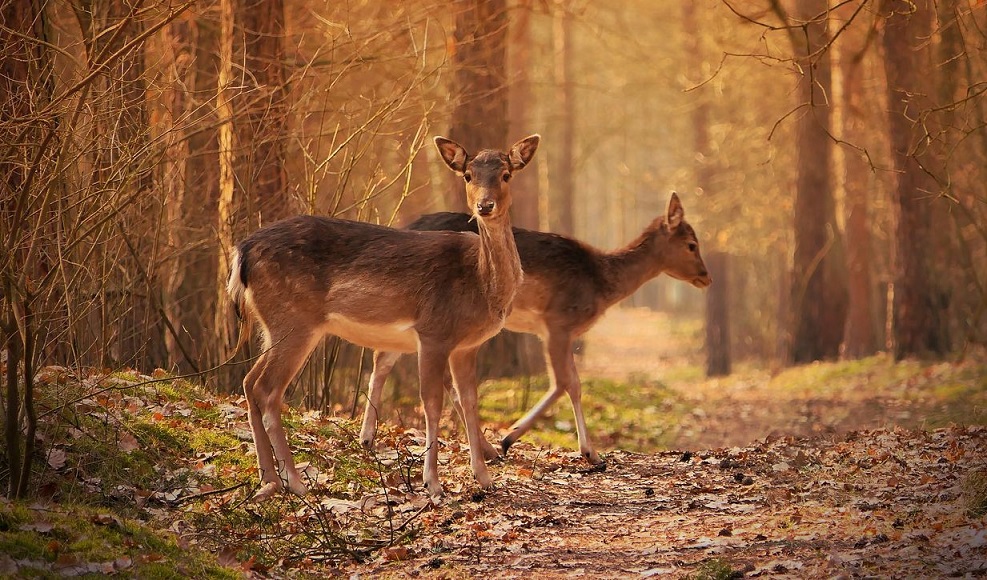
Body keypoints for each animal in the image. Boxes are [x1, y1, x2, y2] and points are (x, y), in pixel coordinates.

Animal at [227, 135, 540, 498]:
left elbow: (470, 402)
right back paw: (294, 480)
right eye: (468, 175)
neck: (480, 282)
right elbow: (432, 403)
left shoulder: (467, 346)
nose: (484, 206)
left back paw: (269, 478)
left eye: (506, 175)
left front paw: (485, 479)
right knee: (268, 389)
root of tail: (242, 251)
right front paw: (433, 483)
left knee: (250, 382)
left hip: (273, 325)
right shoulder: (433, 331)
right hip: (295, 319)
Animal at [358, 193, 712, 464]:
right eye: (691, 244)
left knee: (384, 360)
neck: (601, 283)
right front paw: (587, 452)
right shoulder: (559, 321)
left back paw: (368, 439)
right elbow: (569, 383)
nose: (706, 276)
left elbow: (565, 382)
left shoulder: (552, 330)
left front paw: (512, 438)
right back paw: (485, 449)